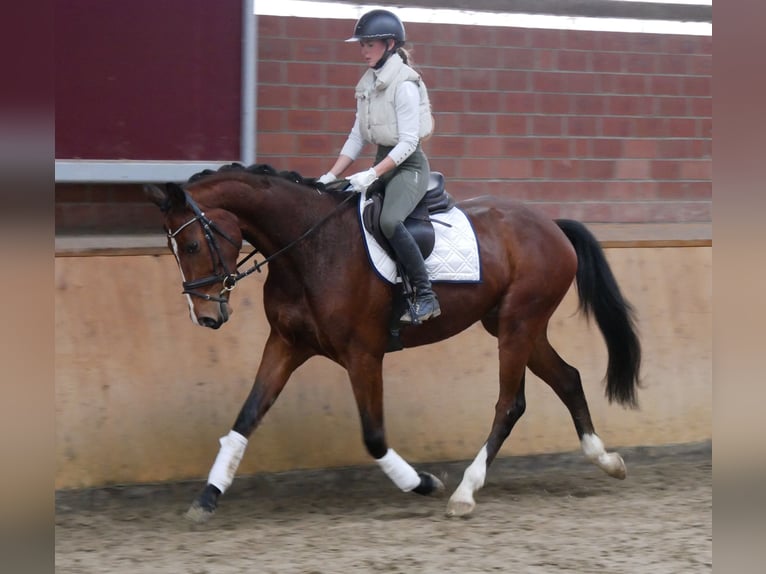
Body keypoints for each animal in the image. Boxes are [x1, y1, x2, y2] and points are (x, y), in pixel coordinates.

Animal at [142, 164, 640, 524]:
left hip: (518, 325)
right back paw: (607, 460)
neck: (310, 249)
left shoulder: (362, 354)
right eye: (174, 248)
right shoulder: (285, 344)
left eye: (191, 245)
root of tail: (550, 224)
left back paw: (464, 492)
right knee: (567, 378)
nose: (206, 317)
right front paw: (207, 497)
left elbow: (374, 436)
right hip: (514, 326)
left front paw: (423, 483)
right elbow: (246, 418)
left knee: (510, 404)